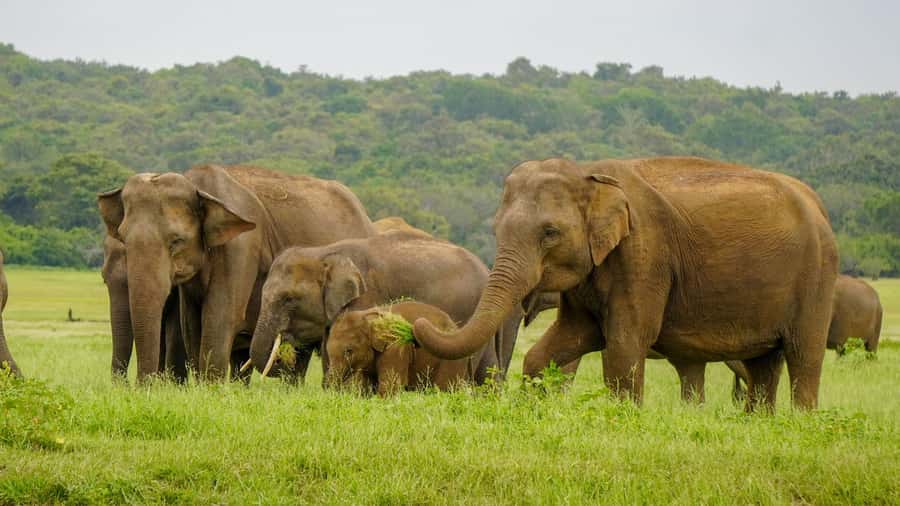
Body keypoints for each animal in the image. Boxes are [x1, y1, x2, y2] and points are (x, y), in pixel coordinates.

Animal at [97, 165, 374, 382]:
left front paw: (210, 390)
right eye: (122, 237)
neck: (199, 187)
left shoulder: (242, 247)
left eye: (176, 241)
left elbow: (220, 317)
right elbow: (192, 326)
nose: (142, 388)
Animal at [414, 157, 838, 411]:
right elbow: (564, 339)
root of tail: (818, 206)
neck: (591, 174)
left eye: (550, 233)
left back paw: (801, 419)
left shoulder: (645, 255)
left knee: (804, 355)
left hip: (818, 277)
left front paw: (622, 418)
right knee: (764, 364)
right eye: (495, 229)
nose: (416, 325)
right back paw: (758, 420)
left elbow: (624, 343)